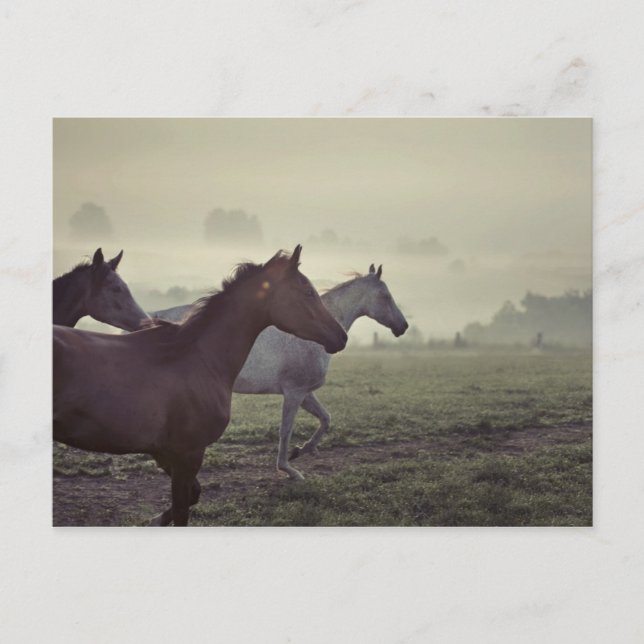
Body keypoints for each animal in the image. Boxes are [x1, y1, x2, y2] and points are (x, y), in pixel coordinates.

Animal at [53, 246, 347, 526]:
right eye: (308, 291)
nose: (341, 336)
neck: (198, 357)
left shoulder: (164, 452)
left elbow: (193, 495)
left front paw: (153, 520)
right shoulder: (188, 453)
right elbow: (183, 509)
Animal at [153, 263, 408, 480]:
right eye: (385, 296)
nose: (403, 326)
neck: (311, 335)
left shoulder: (305, 393)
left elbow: (325, 419)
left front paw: (302, 450)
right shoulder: (294, 392)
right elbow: (286, 430)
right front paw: (288, 469)